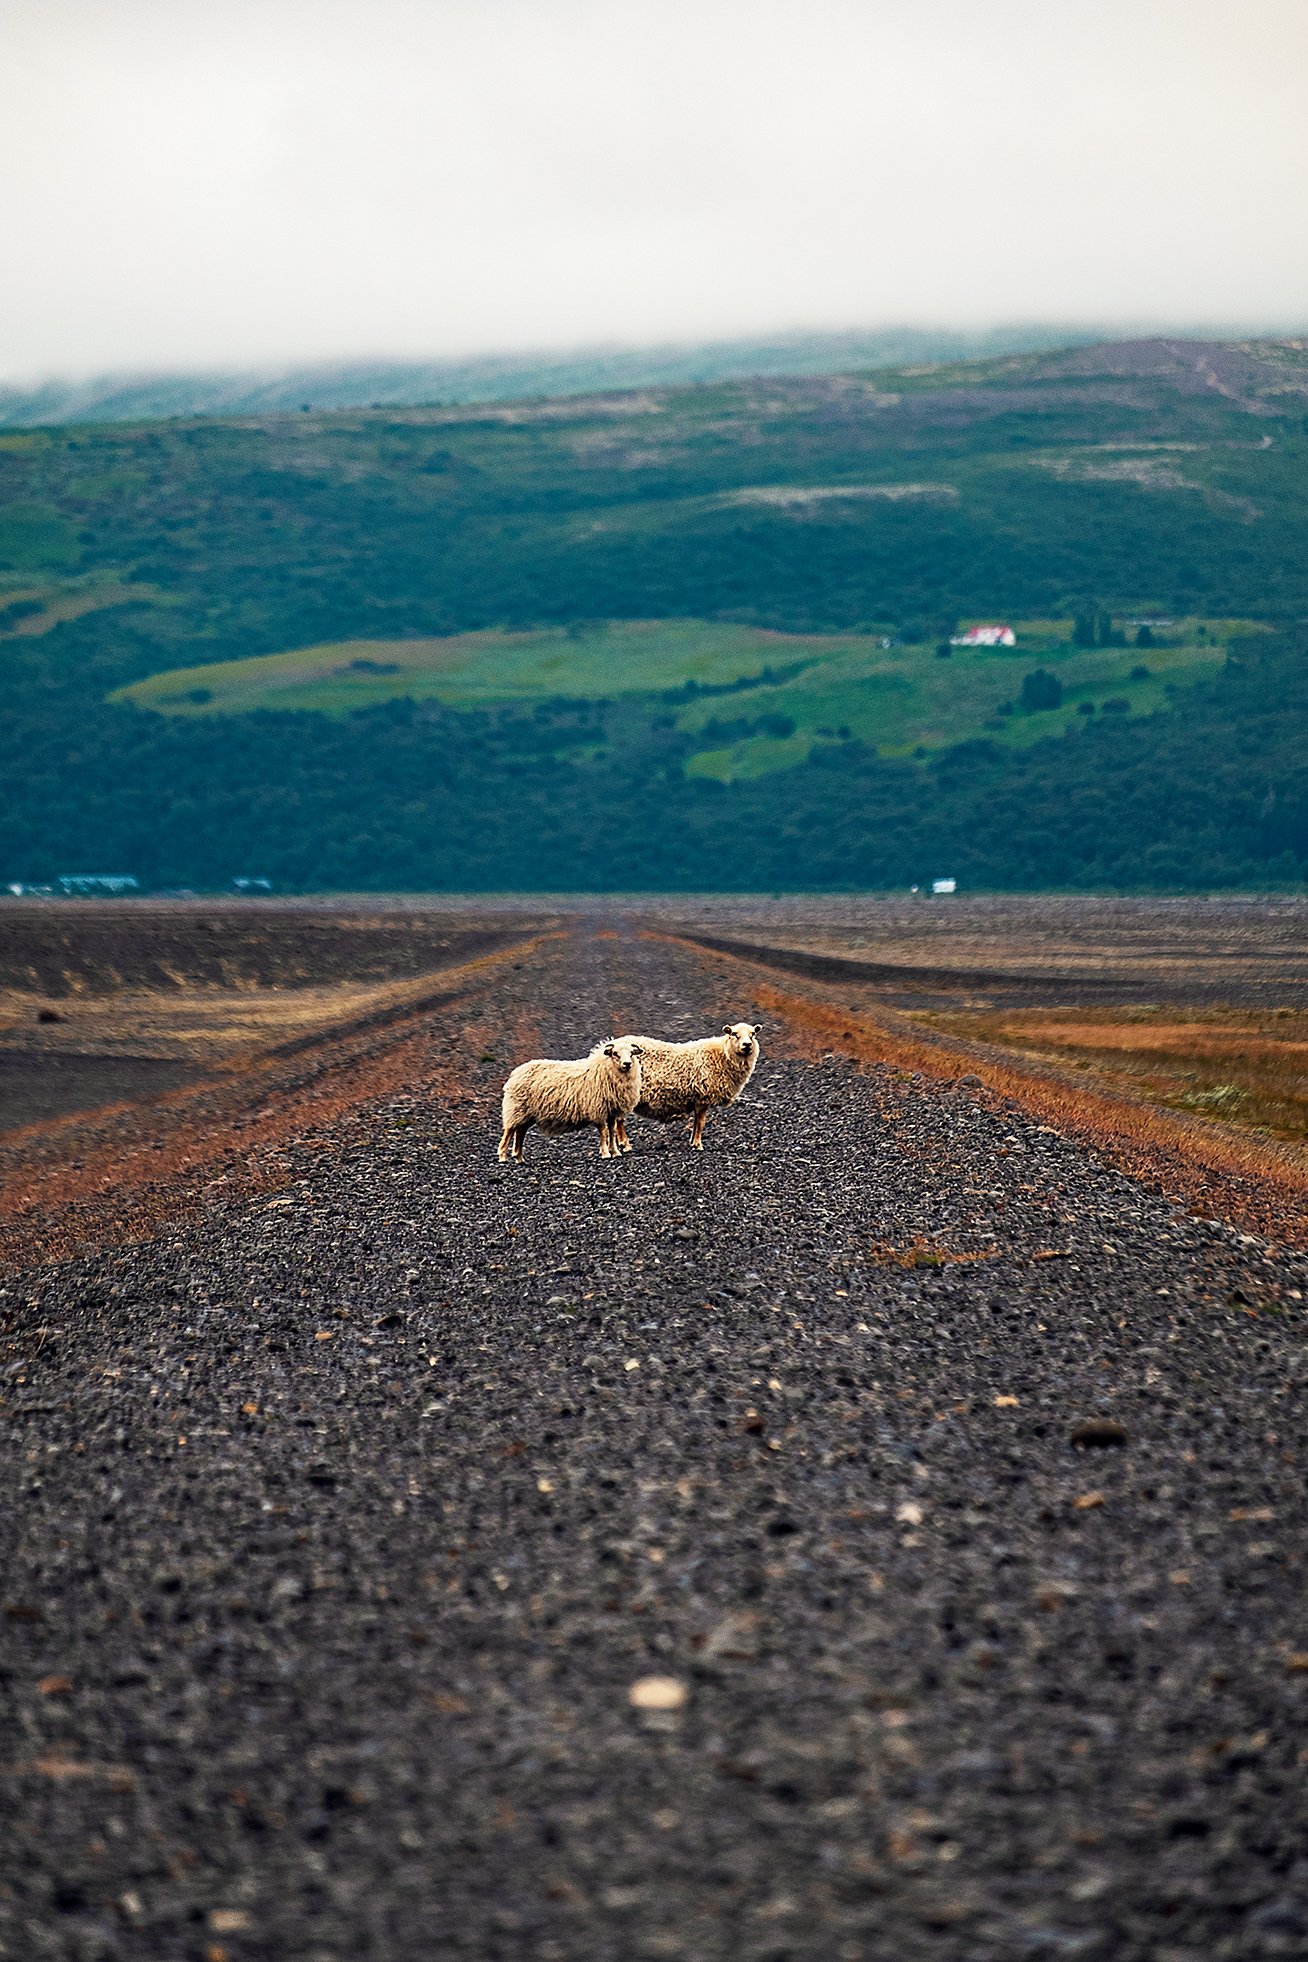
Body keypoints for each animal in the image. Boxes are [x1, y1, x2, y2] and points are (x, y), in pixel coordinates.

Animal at [498, 1035, 647, 1153]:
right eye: (615, 1053)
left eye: (632, 1053)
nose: (627, 1064)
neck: (603, 1069)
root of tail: (516, 1072)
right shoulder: (597, 1109)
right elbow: (603, 1132)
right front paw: (605, 1153)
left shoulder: (612, 1111)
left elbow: (611, 1131)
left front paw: (615, 1152)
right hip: (516, 1109)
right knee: (509, 1131)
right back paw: (503, 1156)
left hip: (525, 1115)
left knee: (520, 1133)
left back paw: (518, 1158)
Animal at [615, 1020, 760, 1153]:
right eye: (734, 1034)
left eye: (753, 1034)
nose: (747, 1045)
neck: (721, 1056)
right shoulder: (702, 1097)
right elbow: (701, 1123)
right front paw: (698, 1145)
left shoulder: (697, 1100)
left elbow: (696, 1123)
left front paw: (692, 1142)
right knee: (619, 1120)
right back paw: (624, 1145)